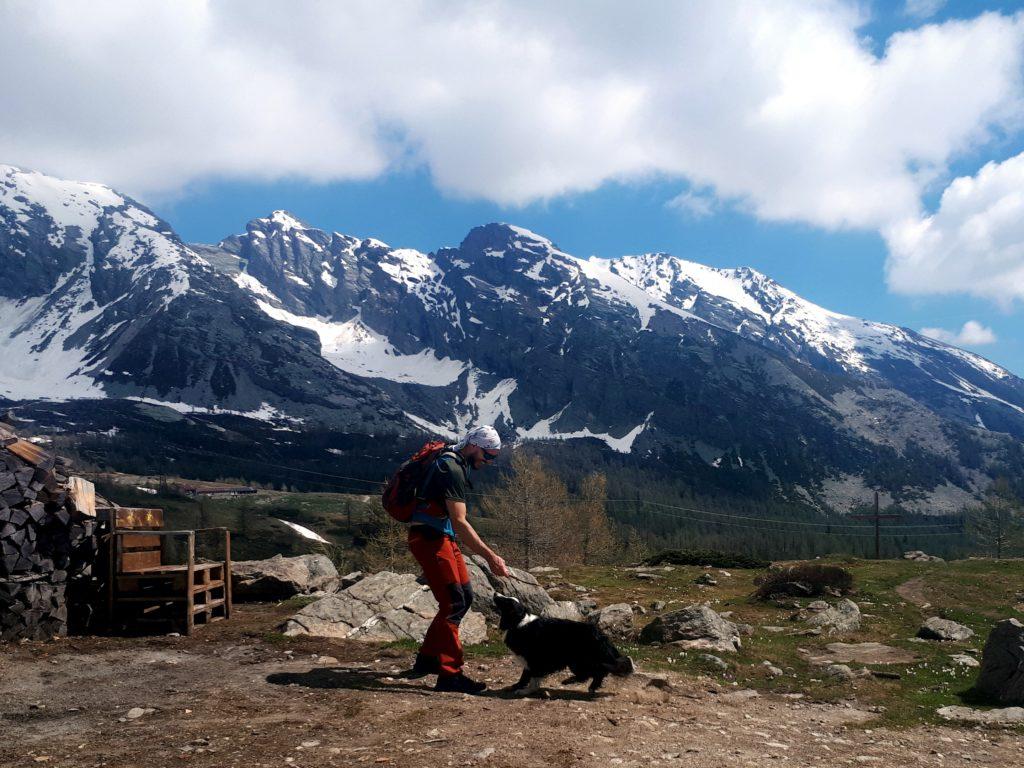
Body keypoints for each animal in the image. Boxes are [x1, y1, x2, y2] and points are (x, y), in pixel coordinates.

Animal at [493, 593, 630, 696]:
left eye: (505, 601)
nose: (495, 593)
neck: (518, 622)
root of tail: (600, 635)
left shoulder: (534, 660)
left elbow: (533, 679)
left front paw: (526, 691)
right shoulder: (528, 662)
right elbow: (524, 676)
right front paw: (517, 686)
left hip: (579, 661)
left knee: (596, 672)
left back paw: (579, 684)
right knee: (593, 673)